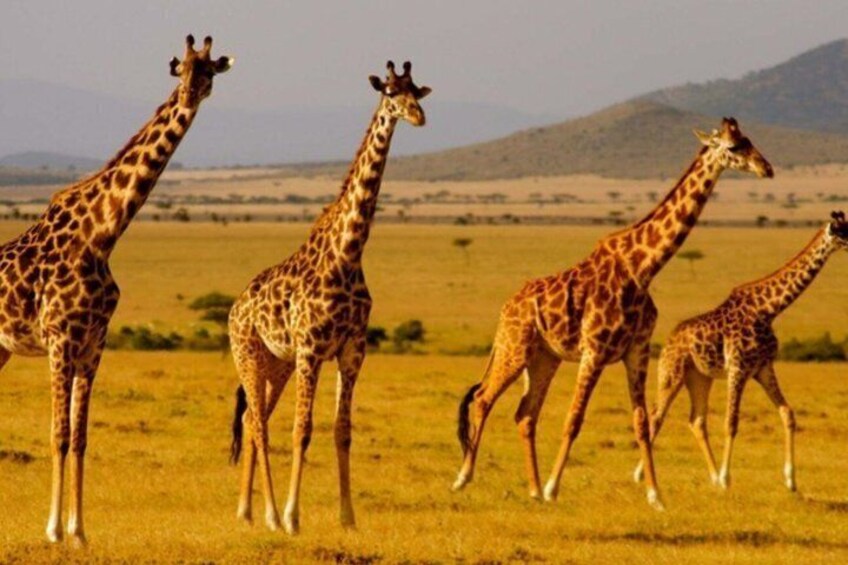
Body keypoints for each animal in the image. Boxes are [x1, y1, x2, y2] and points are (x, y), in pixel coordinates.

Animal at [0, 35, 232, 546]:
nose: (191, 95)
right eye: (181, 69)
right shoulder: (59, 339)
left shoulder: (94, 343)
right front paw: (52, 530)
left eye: (209, 70)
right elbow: (59, 433)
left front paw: (80, 531)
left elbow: (82, 436)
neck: (102, 235)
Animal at [228, 61, 430, 535]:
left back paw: (246, 511)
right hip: (248, 353)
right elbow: (302, 429)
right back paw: (269, 515)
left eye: (417, 92)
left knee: (252, 418)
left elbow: (343, 431)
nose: (417, 116)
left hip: (277, 364)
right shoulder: (311, 349)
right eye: (390, 93)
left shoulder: (352, 350)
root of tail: (235, 307)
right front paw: (292, 516)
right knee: (259, 424)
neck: (348, 254)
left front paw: (348, 518)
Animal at [453, 118, 774, 509]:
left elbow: (642, 423)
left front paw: (655, 496)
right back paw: (464, 478)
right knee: (484, 398)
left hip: (544, 358)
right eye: (732, 147)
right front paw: (554, 488)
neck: (643, 268)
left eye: (748, 140)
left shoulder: (636, 351)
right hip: (515, 348)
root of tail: (505, 307)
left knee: (525, 414)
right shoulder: (594, 351)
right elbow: (574, 419)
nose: (766, 168)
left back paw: (532, 490)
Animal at [634, 211, 848, 493]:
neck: (768, 310)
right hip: (671, 373)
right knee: (656, 416)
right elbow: (731, 422)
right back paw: (641, 475)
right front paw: (727, 479)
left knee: (696, 420)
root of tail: (669, 339)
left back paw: (712, 477)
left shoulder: (764, 367)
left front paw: (791, 480)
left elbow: (788, 414)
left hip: (700, 378)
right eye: (844, 232)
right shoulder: (738, 368)